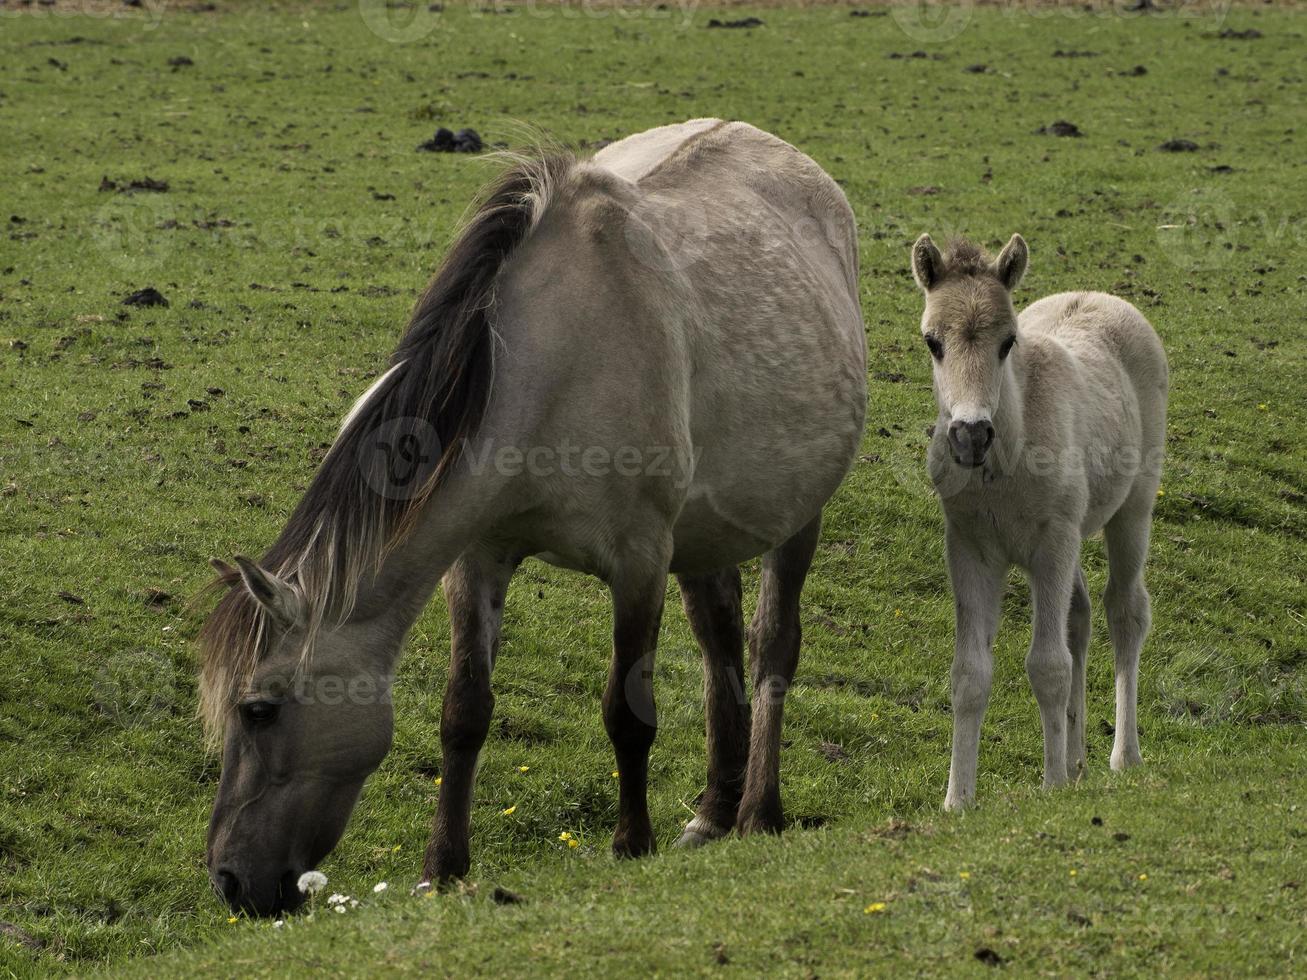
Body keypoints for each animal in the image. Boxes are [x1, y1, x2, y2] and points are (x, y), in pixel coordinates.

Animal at [198, 120, 862, 919]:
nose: (230, 879)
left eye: (258, 710)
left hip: (796, 516)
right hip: (707, 534)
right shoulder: (478, 556)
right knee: (719, 643)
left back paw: (760, 811)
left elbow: (627, 713)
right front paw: (442, 868)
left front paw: (629, 846)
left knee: (771, 650)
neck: (556, 360)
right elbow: (463, 712)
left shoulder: (639, 561)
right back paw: (712, 812)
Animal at [909, 233, 1176, 810]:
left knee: (1125, 610)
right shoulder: (970, 548)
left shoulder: (1051, 543)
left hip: (1131, 509)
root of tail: (1099, 295)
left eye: (1008, 341)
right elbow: (970, 673)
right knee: (1079, 616)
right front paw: (958, 800)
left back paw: (1123, 756)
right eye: (932, 342)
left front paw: (1051, 784)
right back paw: (1076, 761)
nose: (970, 435)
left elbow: (1048, 665)